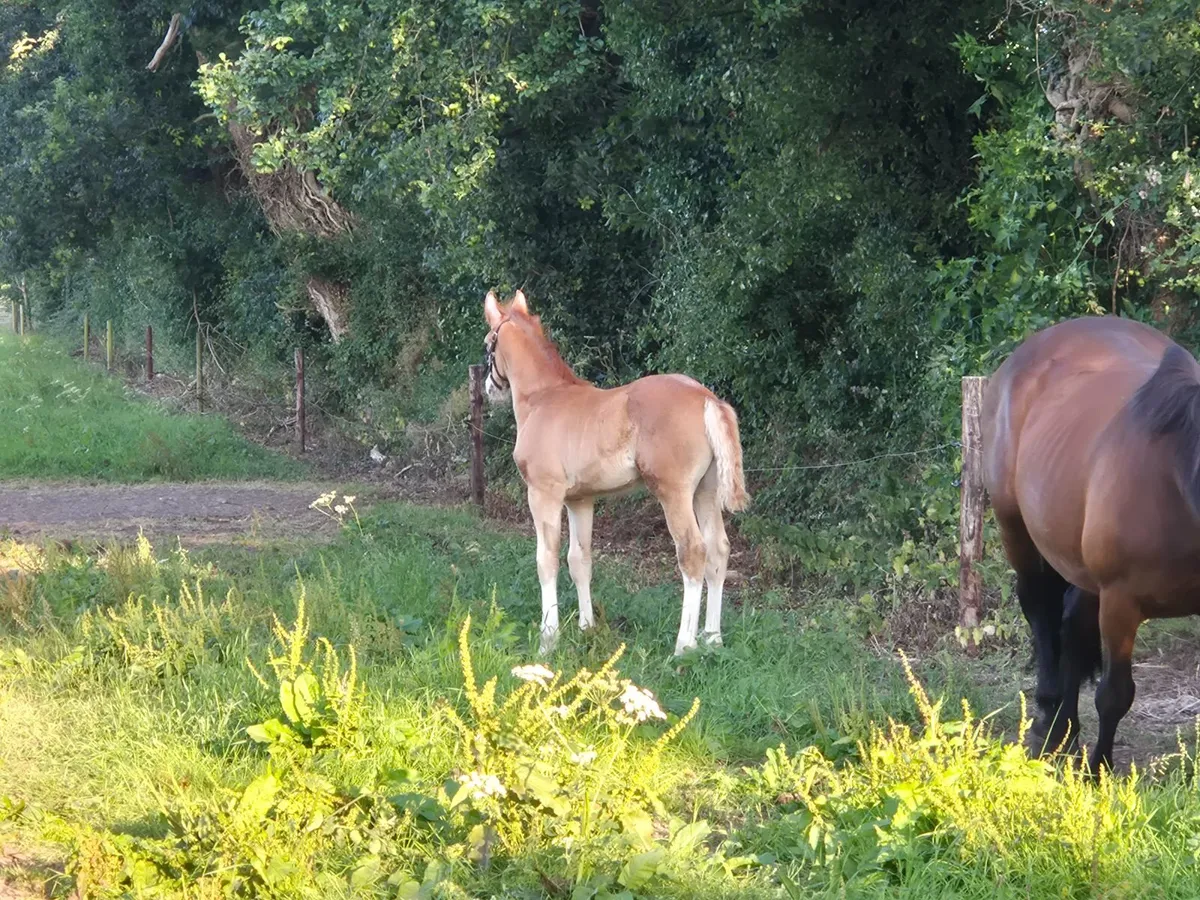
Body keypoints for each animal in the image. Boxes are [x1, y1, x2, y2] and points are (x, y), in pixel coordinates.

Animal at [481, 289, 749, 656]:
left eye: (487, 344)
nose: (488, 388)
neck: (543, 399)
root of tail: (707, 399)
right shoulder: (580, 500)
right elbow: (579, 560)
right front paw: (587, 628)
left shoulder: (543, 493)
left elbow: (546, 560)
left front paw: (548, 639)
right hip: (705, 491)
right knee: (718, 550)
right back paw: (713, 638)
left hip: (675, 492)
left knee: (693, 551)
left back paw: (684, 645)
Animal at [983, 314, 1200, 775]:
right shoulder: (1120, 602)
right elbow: (1115, 694)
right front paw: (1098, 769)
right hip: (1016, 530)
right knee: (1040, 610)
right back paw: (1047, 725)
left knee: (1071, 627)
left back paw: (1065, 728)